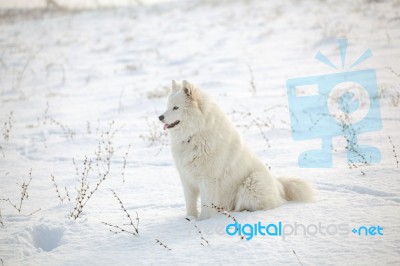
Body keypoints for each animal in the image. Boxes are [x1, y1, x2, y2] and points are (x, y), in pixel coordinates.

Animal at [159, 79, 316, 220]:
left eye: (176, 107)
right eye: (167, 106)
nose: (160, 117)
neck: (195, 134)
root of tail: (279, 186)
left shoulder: (208, 180)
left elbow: (206, 206)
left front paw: (203, 222)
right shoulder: (186, 179)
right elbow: (190, 203)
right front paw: (190, 219)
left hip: (251, 183)